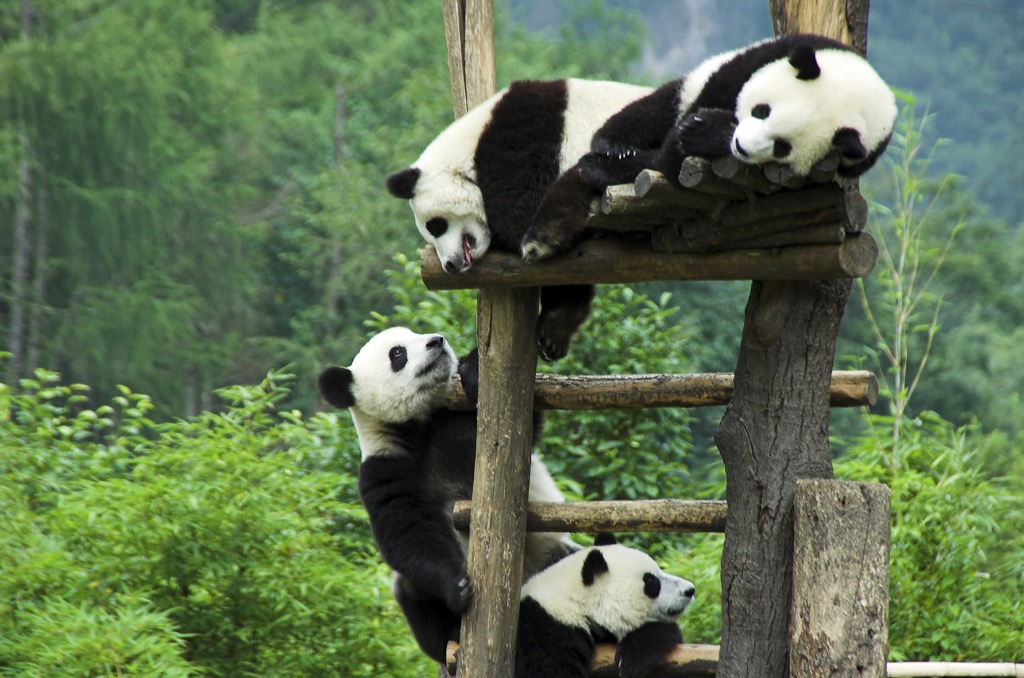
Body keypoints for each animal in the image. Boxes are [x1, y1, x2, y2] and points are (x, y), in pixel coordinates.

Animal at [317, 327, 577, 665]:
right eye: (397, 353)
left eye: (415, 333)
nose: (436, 341)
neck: (421, 424)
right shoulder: (384, 471)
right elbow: (410, 534)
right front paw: (458, 586)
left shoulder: (460, 427)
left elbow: (520, 421)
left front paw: (473, 369)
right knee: (409, 590)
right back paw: (449, 637)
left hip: (550, 553)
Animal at [385, 78, 652, 361]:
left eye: (435, 226)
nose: (450, 265)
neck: (468, 151)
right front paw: (555, 330)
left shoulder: (519, 146)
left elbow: (517, 222)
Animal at [521, 34, 897, 261]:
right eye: (763, 110)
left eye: (782, 146)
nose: (741, 146)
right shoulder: (756, 61)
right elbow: (682, 132)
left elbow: (674, 159)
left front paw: (706, 133)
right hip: (690, 82)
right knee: (658, 105)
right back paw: (609, 147)